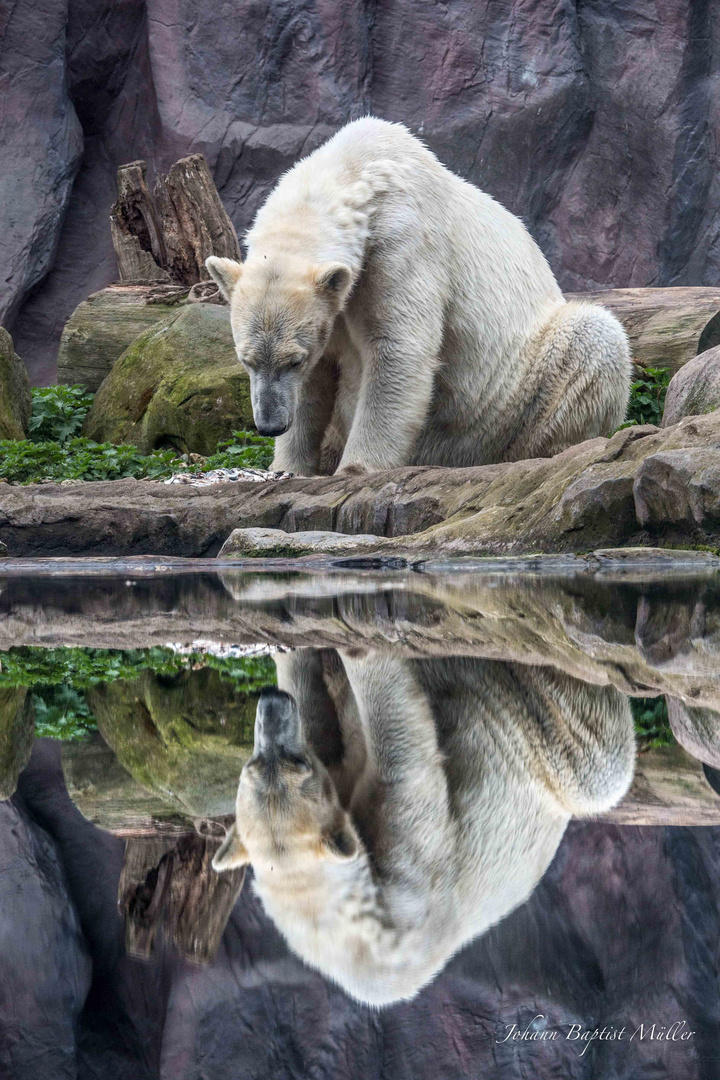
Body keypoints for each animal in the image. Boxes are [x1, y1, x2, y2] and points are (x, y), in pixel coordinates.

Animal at [204, 116, 630, 475]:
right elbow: (319, 379)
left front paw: (356, 469)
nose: (269, 426)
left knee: (593, 336)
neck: (354, 168)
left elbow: (397, 347)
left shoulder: (402, 242)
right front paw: (286, 468)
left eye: (294, 359)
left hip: (503, 402)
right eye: (246, 359)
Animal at [211, 643, 634, 1006]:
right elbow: (402, 754)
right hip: (544, 748)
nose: (272, 701)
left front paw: (298, 655)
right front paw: (357, 653)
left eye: (292, 764)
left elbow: (325, 729)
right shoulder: (406, 889)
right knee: (595, 753)